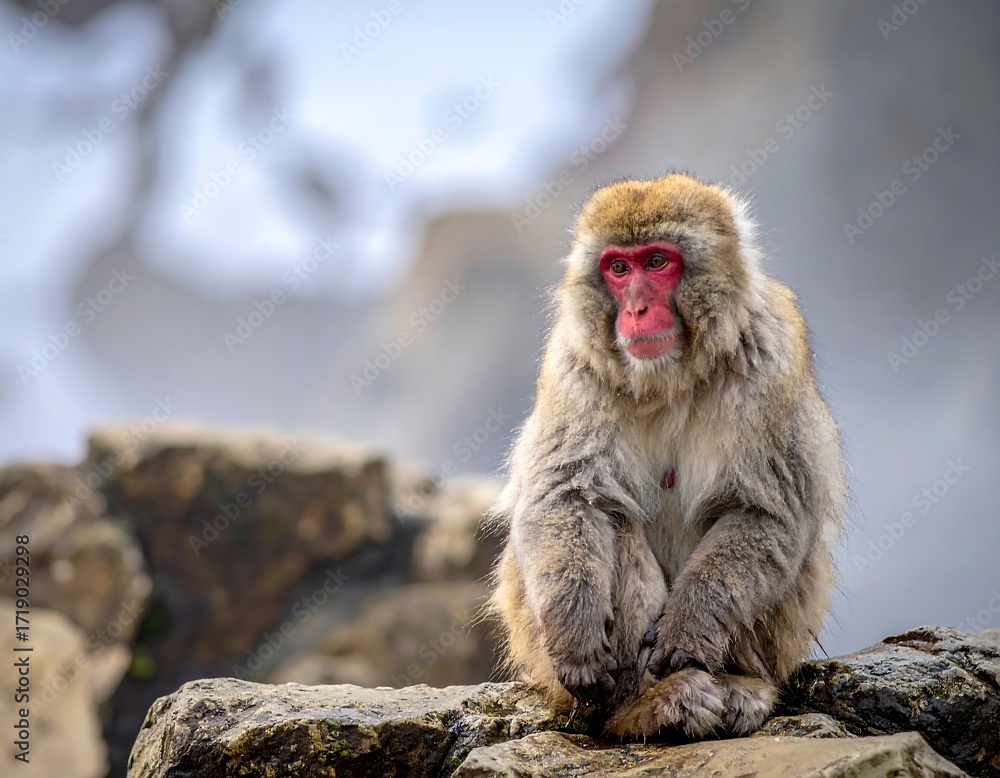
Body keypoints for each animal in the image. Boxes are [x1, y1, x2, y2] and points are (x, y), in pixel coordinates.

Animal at [489, 173, 846, 739]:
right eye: (618, 268)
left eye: (657, 261)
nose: (635, 310)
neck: (672, 377)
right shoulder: (574, 362)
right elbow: (566, 495)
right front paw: (576, 634)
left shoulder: (770, 354)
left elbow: (768, 510)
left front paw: (688, 627)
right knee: (614, 521)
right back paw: (648, 703)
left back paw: (740, 686)